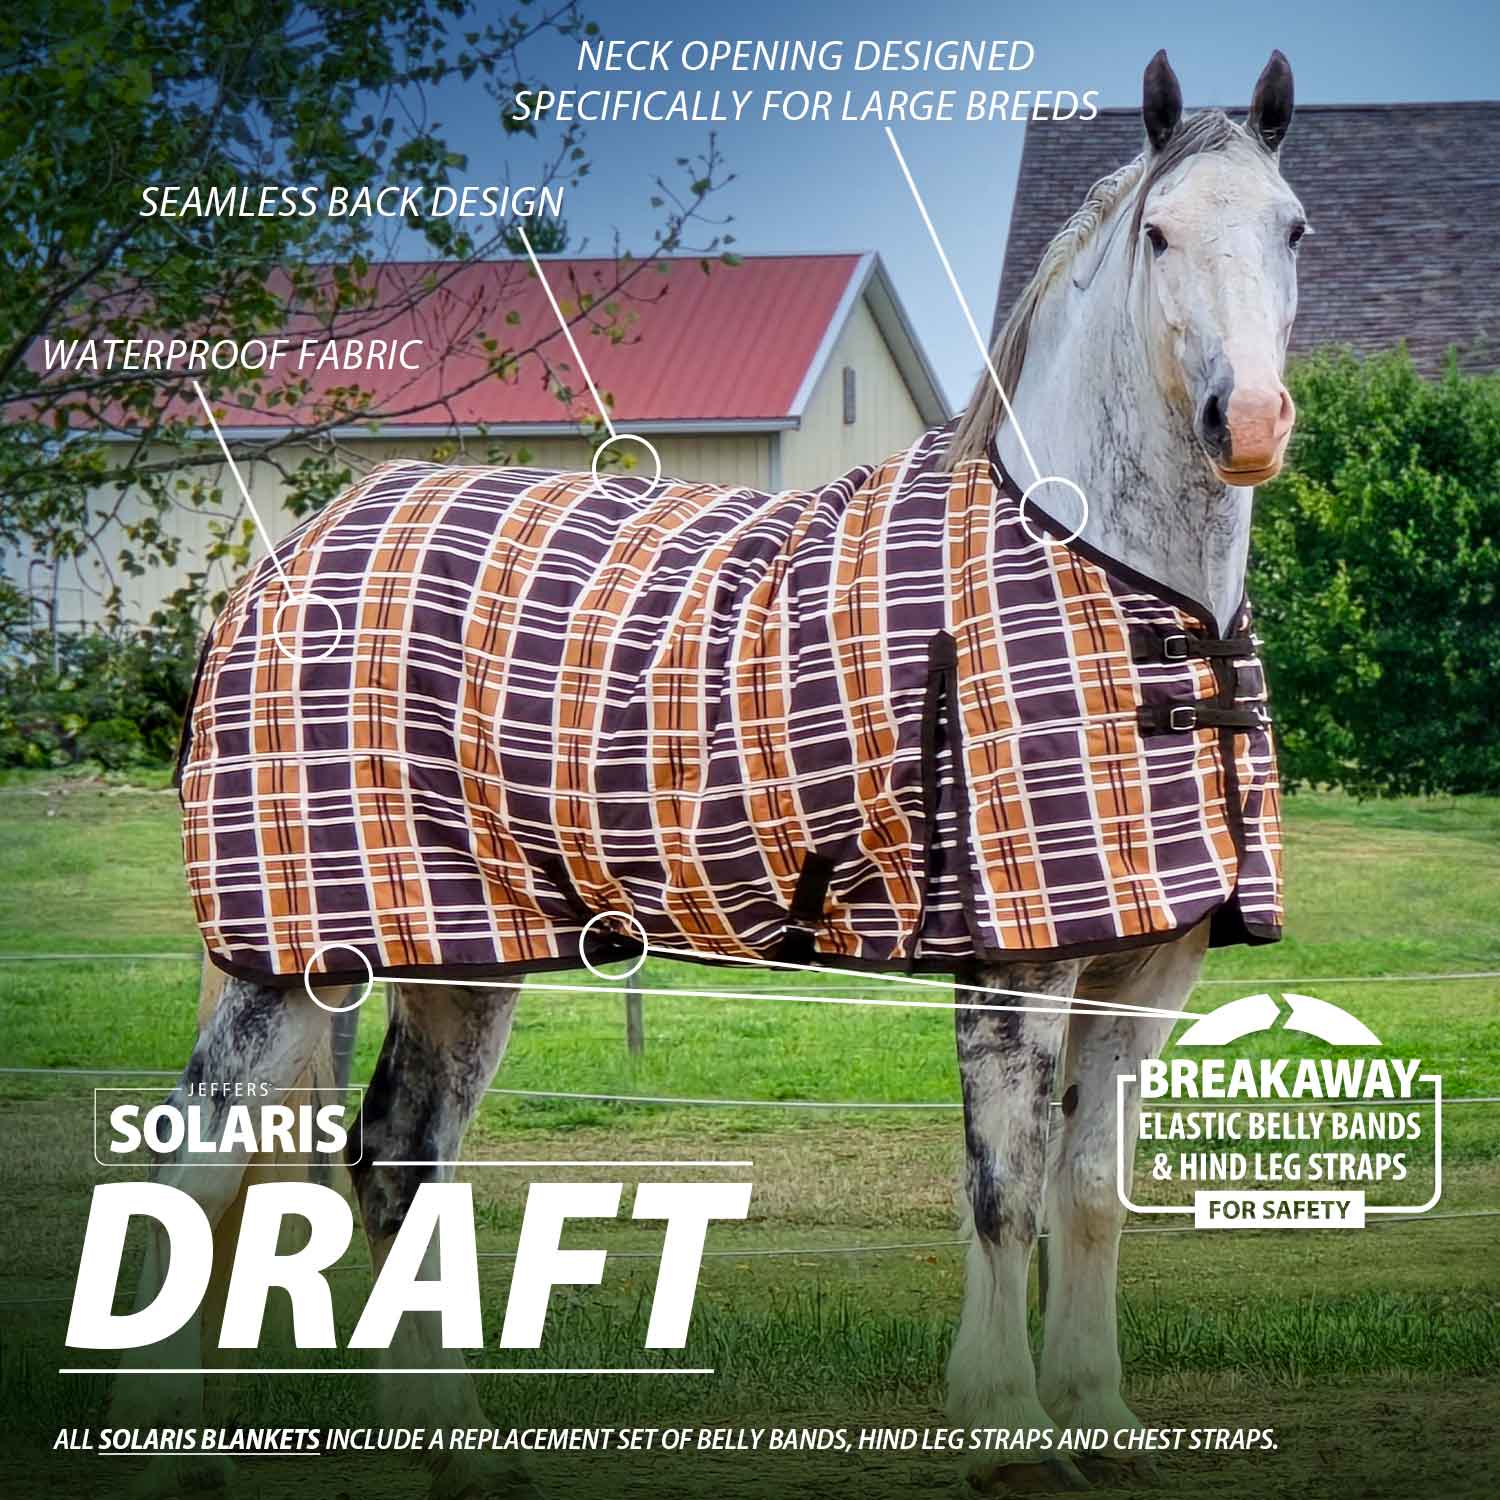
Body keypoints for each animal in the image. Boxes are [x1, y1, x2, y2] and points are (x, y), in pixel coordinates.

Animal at [110, 48, 1302, 1498]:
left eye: (1293, 229)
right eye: (1160, 233)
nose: (1249, 421)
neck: (1121, 590)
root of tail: (284, 564)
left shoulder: (1151, 961)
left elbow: (1088, 1193)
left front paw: (1102, 1421)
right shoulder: (1016, 960)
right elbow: (1005, 1188)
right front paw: (1010, 1433)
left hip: (457, 952)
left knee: (394, 1162)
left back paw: (462, 1454)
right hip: (285, 960)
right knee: (198, 1171)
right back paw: (182, 1458)